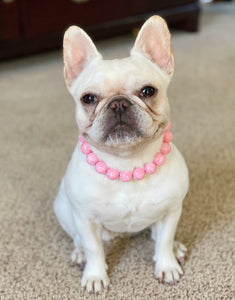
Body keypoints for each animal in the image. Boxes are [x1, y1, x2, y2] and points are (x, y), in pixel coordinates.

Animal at [53, 15, 189, 292]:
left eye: (148, 91)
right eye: (88, 98)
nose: (118, 103)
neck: (128, 163)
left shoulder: (172, 211)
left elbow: (164, 241)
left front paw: (166, 264)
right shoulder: (85, 219)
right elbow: (94, 248)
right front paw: (95, 275)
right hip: (63, 209)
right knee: (77, 238)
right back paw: (79, 254)